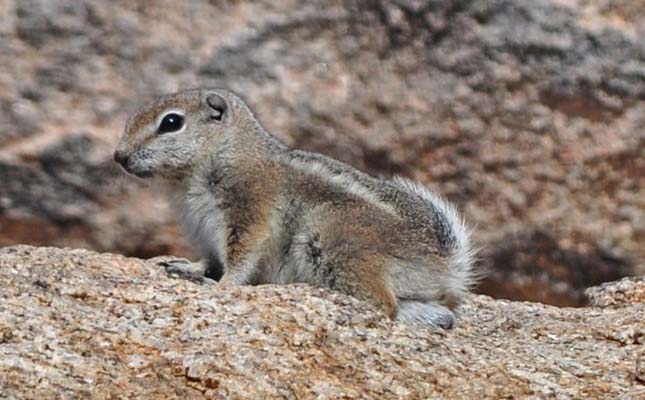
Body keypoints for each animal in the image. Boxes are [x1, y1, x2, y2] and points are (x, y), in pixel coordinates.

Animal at [114, 87, 478, 328]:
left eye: (171, 122)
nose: (118, 156)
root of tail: (447, 264)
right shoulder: (203, 232)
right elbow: (208, 259)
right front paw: (186, 267)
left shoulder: (249, 211)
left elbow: (242, 257)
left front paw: (221, 286)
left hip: (330, 240)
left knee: (383, 305)